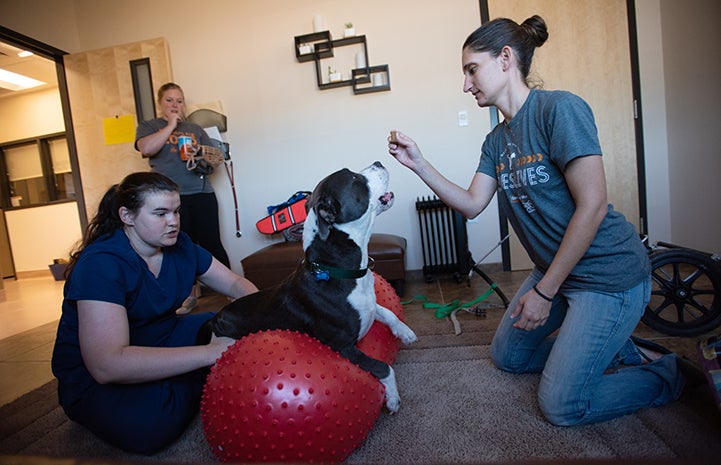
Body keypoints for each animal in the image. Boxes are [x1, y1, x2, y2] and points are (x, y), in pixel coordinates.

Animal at [200, 161, 420, 412]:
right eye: (355, 179)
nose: (378, 162)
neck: (338, 269)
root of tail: (215, 318)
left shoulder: (369, 305)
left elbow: (387, 312)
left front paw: (405, 332)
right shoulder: (343, 346)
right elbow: (383, 367)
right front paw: (392, 397)